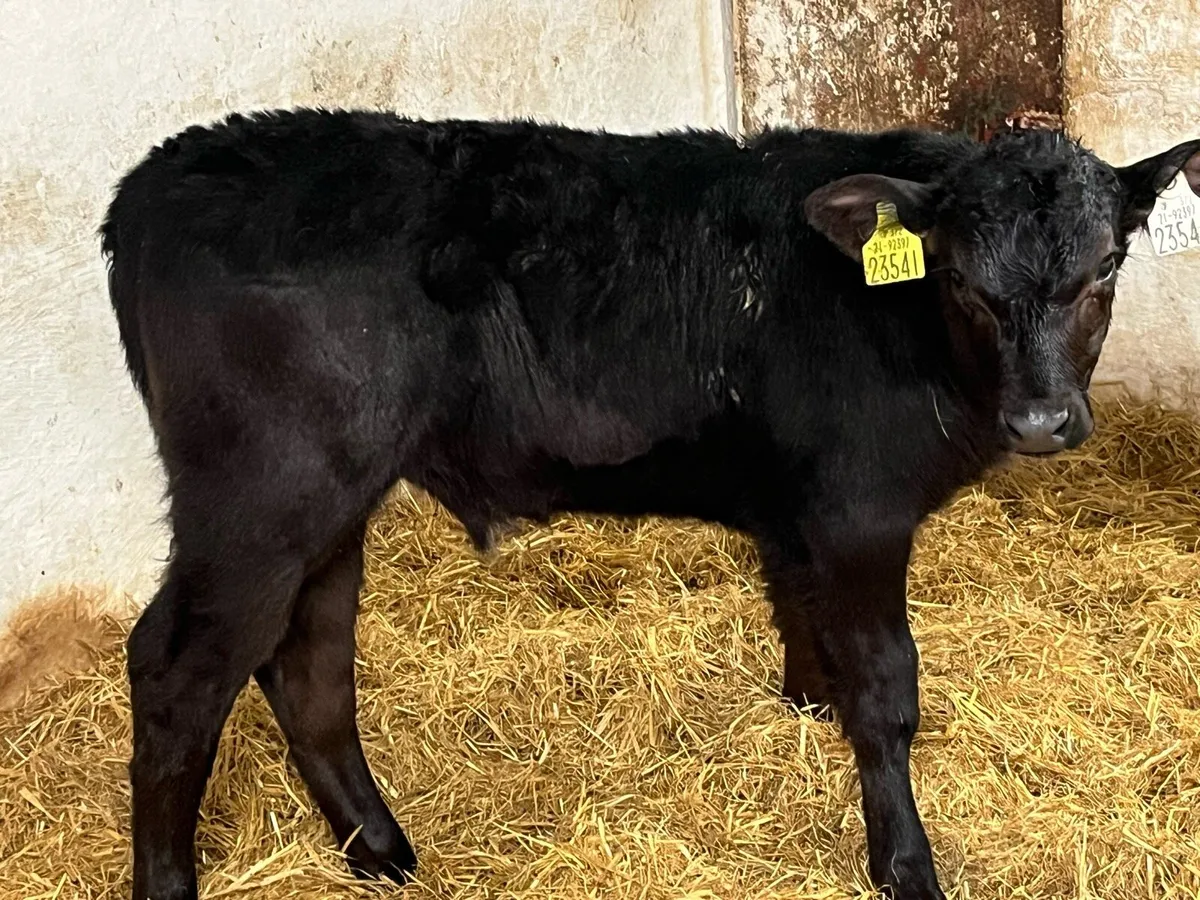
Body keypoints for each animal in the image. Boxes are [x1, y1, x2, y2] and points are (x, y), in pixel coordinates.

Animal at [100, 108, 1200, 900]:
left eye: (1105, 266)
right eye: (964, 279)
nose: (1043, 419)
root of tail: (157, 179)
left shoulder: (796, 505)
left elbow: (799, 613)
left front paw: (807, 705)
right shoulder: (860, 513)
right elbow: (887, 693)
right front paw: (905, 866)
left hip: (330, 499)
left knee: (308, 660)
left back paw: (379, 849)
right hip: (261, 494)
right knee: (179, 670)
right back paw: (177, 883)